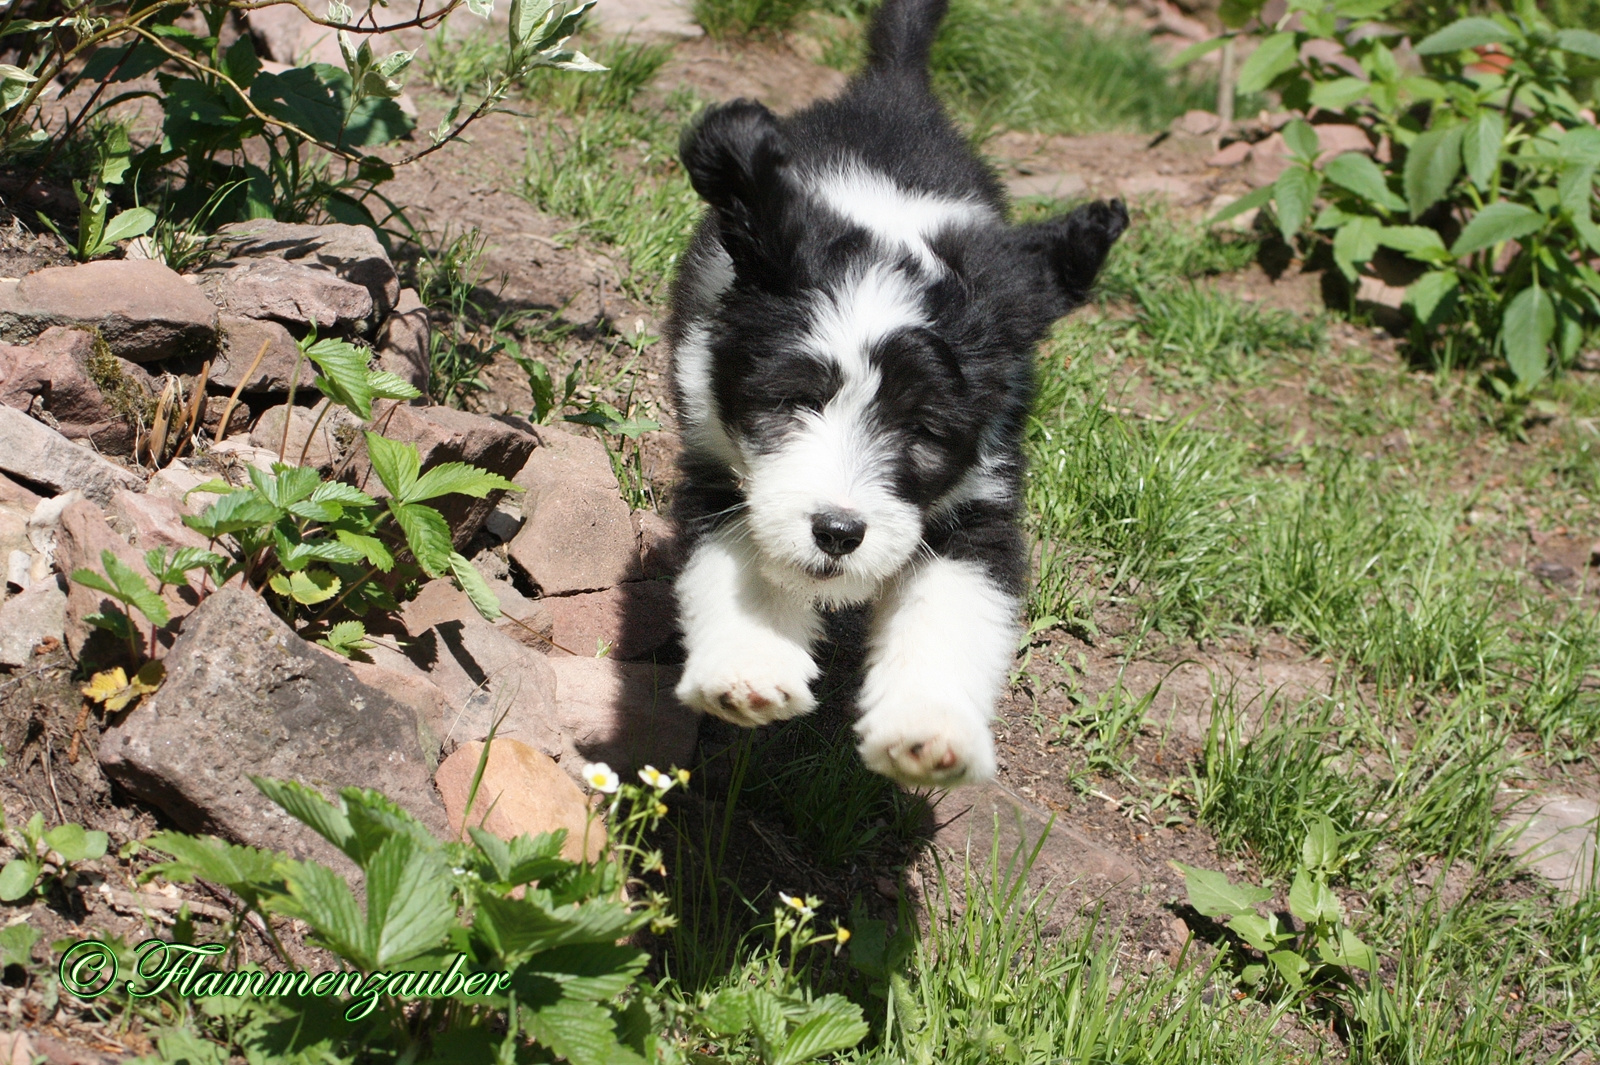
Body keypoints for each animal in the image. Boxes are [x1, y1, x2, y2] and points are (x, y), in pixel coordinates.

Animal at [662, 0, 1126, 783]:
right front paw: (750, 668)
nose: (838, 531)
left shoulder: (979, 497)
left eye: (922, 432)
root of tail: (895, 94)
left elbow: (953, 607)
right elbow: (747, 558)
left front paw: (929, 730)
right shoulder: (719, 453)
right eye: (794, 401)